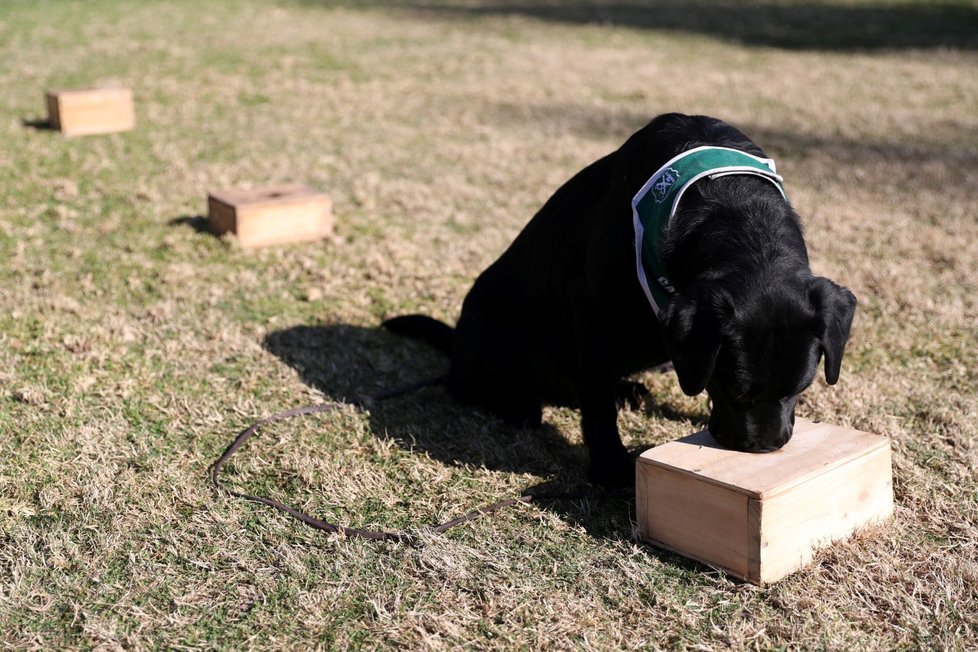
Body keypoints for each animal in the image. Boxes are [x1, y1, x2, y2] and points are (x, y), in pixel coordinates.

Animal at [382, 113, 856, 488]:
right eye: (734, 386)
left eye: (801, 388)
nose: (763, 447)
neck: (733, 206)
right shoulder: (592, 309)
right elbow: (597, 404)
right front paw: (611, 468)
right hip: (500, 327)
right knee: (472, 383)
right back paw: (517, 401)